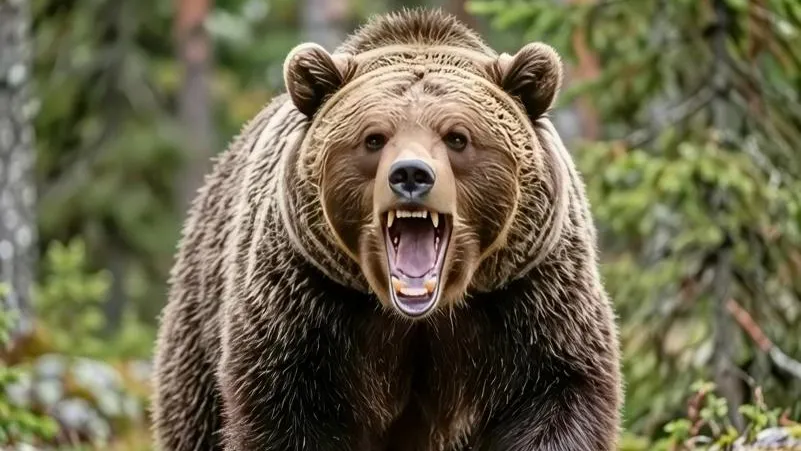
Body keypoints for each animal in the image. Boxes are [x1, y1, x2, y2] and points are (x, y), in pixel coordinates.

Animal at [151, 8, 622, 451]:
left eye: (457, 137)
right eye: (374, 138)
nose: (411, 174)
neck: (419, 315)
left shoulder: (531, 301)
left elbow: (555, 394)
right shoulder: (304, 307)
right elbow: (285, 411)